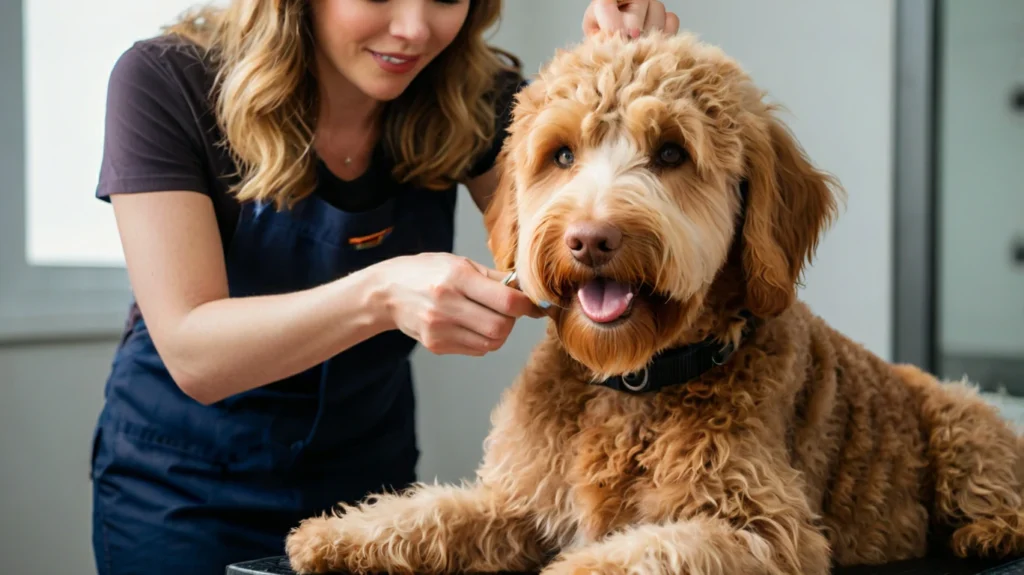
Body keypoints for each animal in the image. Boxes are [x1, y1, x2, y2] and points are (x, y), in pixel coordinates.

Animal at [284, 31, 1024, 572]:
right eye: (561, 155)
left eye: (671, 152)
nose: (590, 239)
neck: (634, 382)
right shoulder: (521, 500)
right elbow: (440, 510)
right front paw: (340, 534)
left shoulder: (762, 527)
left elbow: (636, 552)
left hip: (962, 420)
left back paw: (986, 532)